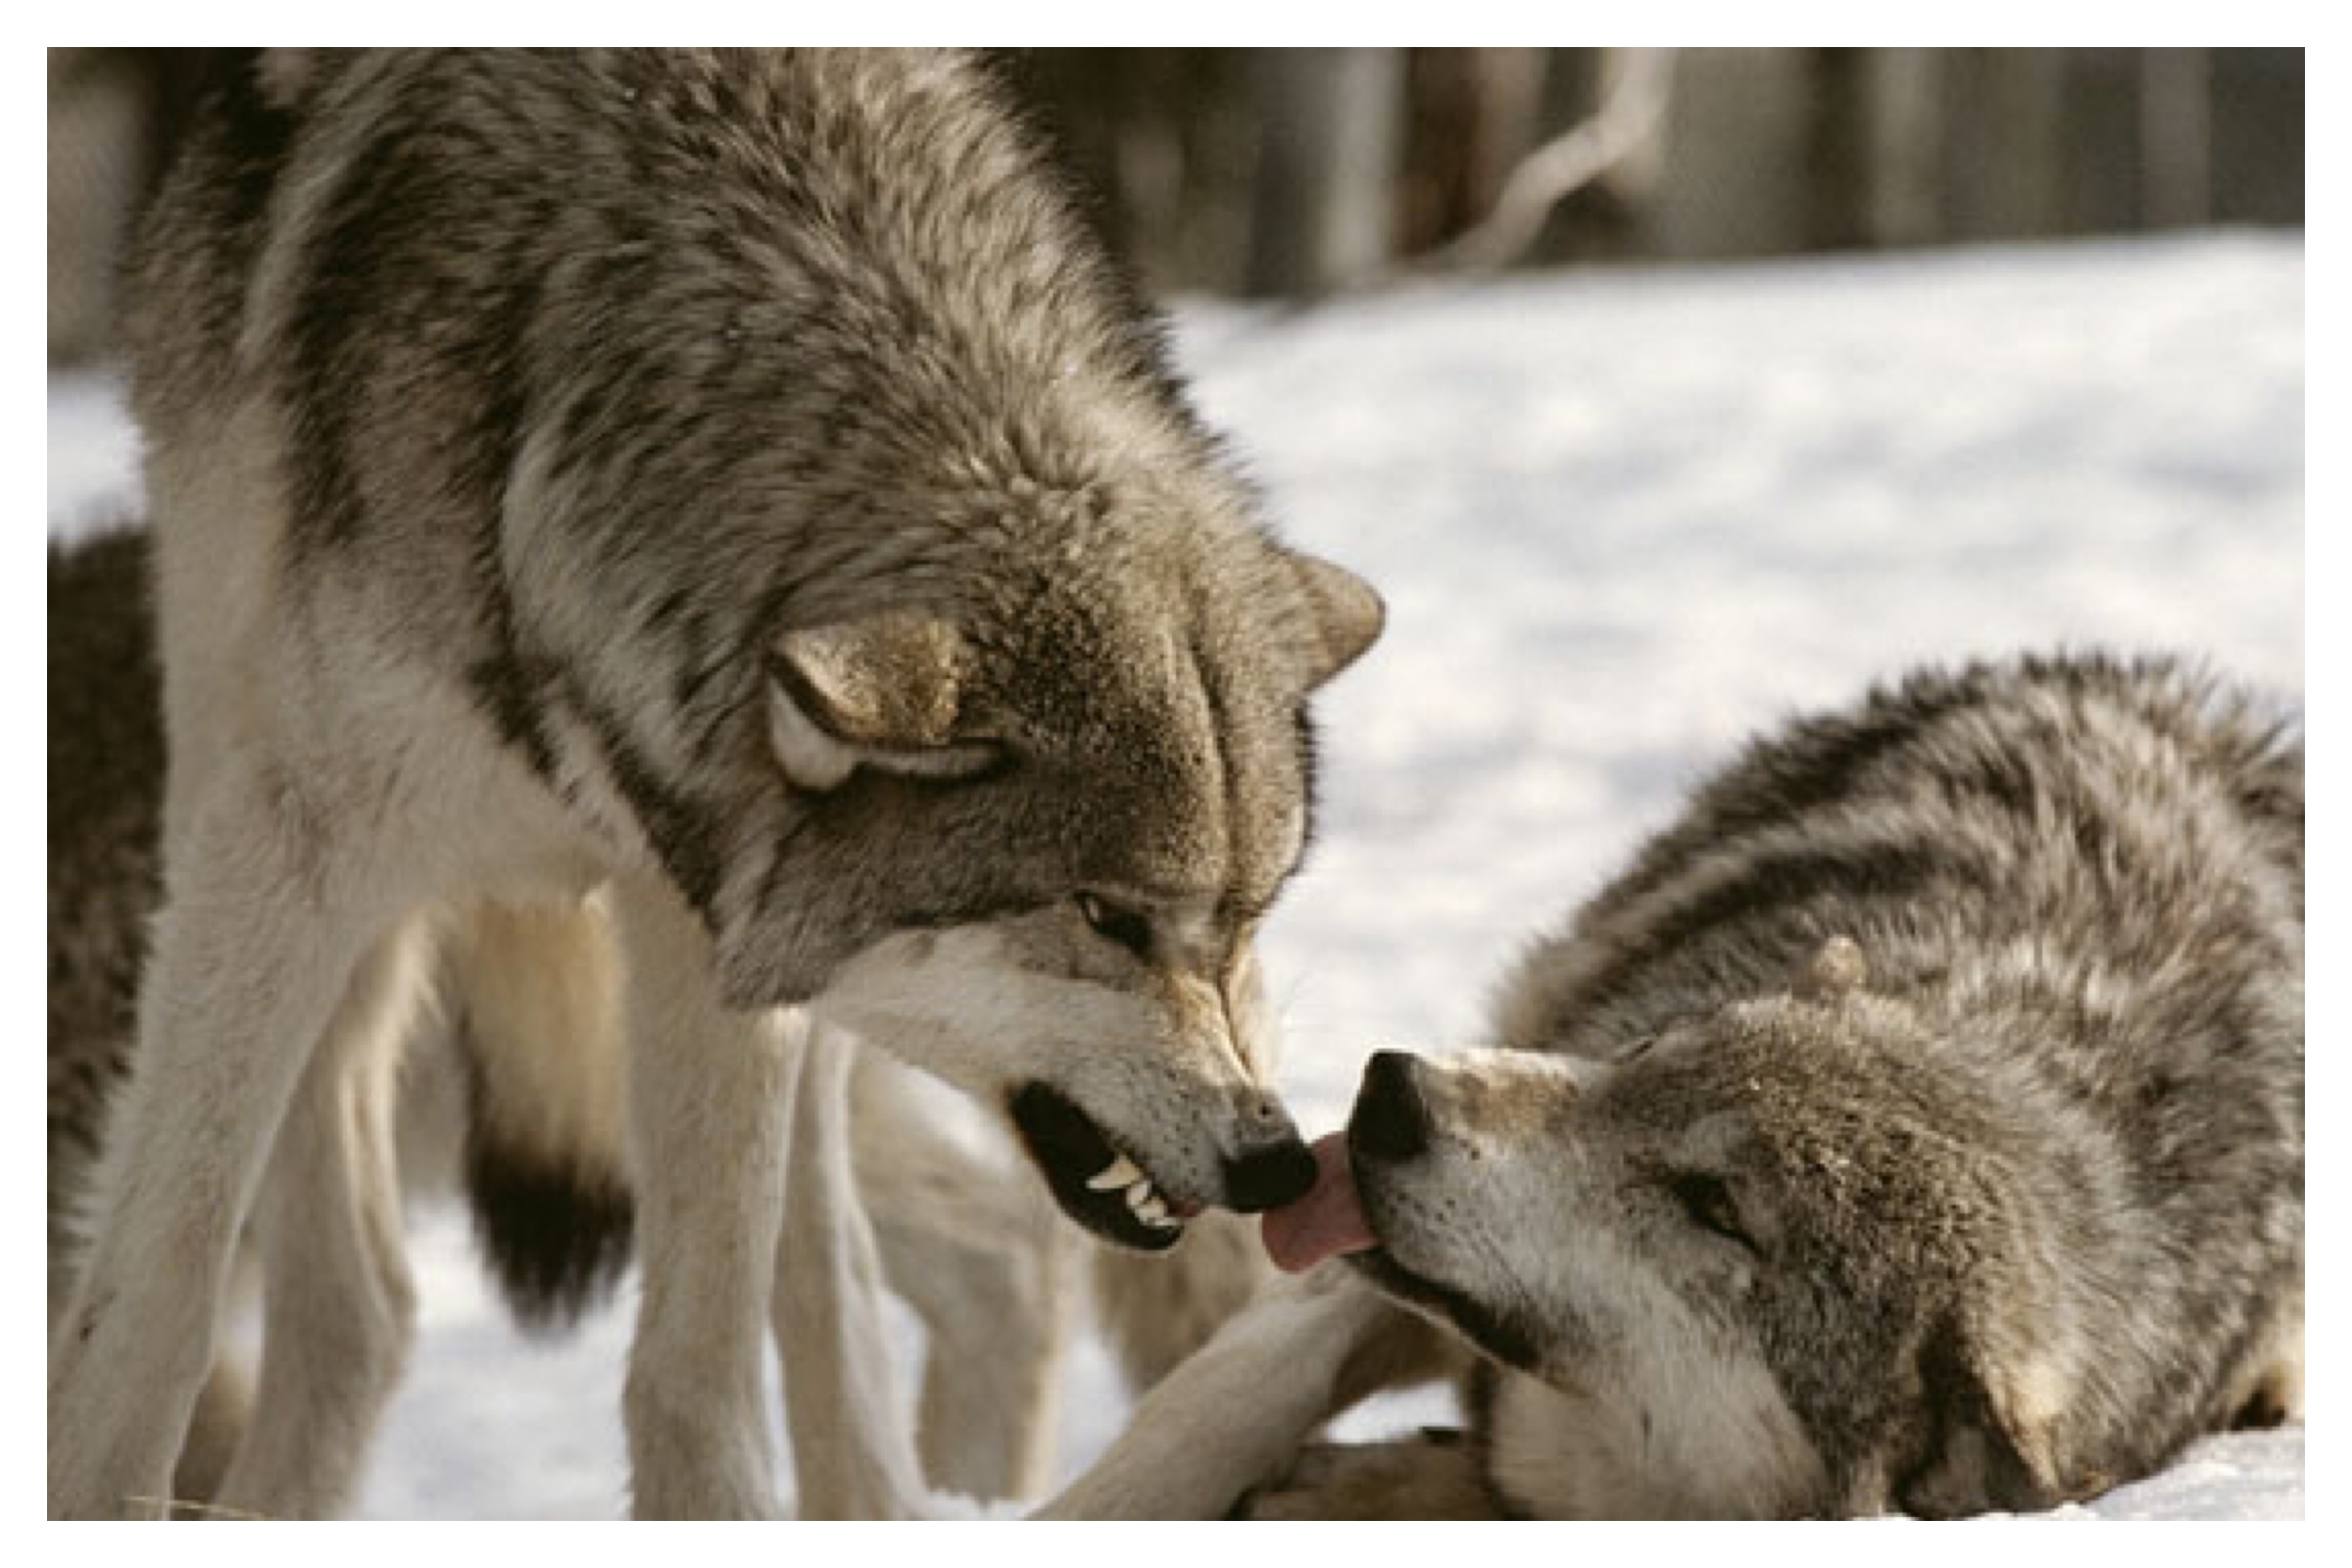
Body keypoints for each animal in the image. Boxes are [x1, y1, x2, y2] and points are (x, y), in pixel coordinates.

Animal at [50, 49, 1373, 1523]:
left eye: (1248, 918)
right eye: (1106, 916)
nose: (1274, 1157)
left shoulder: (704, 929)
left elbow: (702, 1361)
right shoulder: (287, 854)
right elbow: (151, 1308)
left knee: (864, 1287)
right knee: (359, 1307)